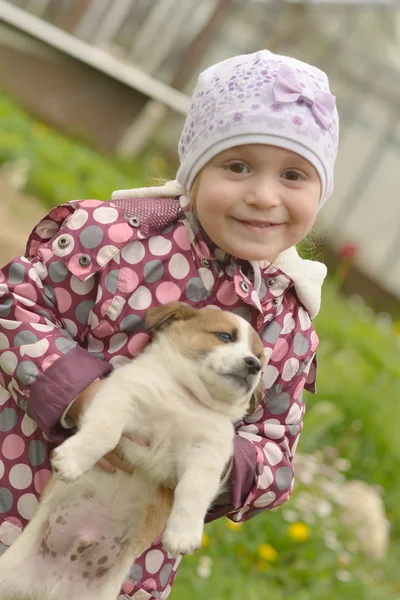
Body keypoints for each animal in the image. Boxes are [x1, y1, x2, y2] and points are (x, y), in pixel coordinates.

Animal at [0, 304, 264, 600]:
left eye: (260, 357)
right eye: (225, 336)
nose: (254, 365)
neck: (187, 399)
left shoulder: (209, 452)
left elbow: (195, 488)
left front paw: (183, 532)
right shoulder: (122, 397)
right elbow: (104, 432)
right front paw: (73, 460)